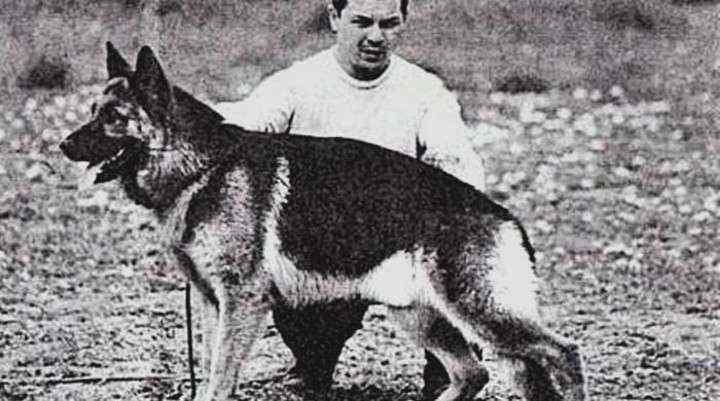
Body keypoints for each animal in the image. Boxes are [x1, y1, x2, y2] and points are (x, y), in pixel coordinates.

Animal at [60, 41, 584, 400]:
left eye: (113, 117)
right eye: (93, 111)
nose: (63, 146)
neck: (202, 167)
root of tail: (504, 216)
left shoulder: (241, 304)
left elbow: (219, 381)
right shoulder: (214, 304)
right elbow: (209, 375)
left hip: (481, 313)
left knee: (563, 353)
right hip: (418, 317)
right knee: (474, 372)